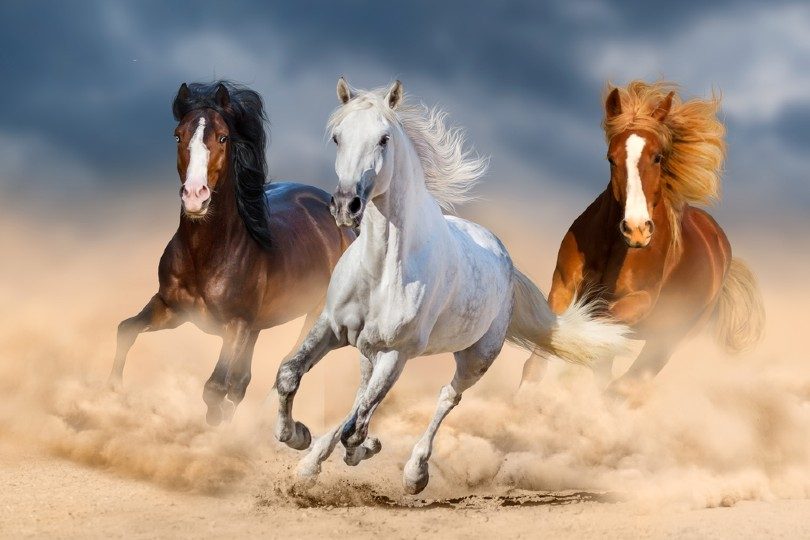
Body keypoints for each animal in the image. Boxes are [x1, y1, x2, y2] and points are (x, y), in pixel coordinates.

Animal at [109, 81, 354, 425]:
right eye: (177, 135)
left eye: (223, 137)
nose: (195, 196)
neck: (207, 254)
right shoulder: (171, 309)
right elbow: (126, 330)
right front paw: (114, 392)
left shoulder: (235, 325)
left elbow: (214, 387)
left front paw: (213, 428)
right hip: (257, 326)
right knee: (242, 381)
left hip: (315, 314)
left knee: (288, 366)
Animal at [272, 77, 630, 494]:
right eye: (337, 137)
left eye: (383, 139)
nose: (347, 206)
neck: (382, 270)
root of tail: (506, 262)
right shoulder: (332, 326)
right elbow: (290, 375)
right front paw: (297, 437)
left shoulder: (397, 352)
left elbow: (357, 426)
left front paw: (360, 448)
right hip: (369, 350)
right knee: (362, 395)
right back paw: (314, 462)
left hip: (475, 358)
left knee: (445, 397)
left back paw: (415, 473)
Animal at [520, 81, 765, 395]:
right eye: (611, 158)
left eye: (658, 156)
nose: (636, 229)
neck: (614, 249)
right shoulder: (563, 285)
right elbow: (543, 352)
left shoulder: (639, 302)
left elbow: (595, 327)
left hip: (669, 339)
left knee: (627, 381)